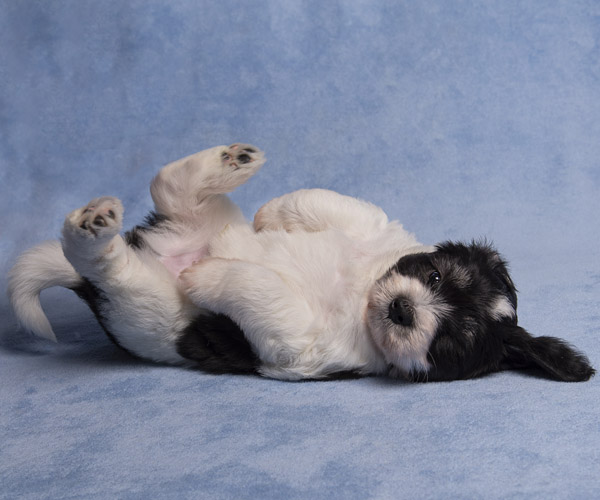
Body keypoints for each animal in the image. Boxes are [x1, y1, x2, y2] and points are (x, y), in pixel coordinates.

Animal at [8, 144, 595, 382]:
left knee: (104, 263)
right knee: (171, 186)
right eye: (432, 276)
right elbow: (318, 203)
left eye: (448, 340)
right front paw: (273, 217)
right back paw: (229, 161)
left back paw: (96, 229)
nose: (404, 310)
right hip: (202, 223)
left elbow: (268, 294)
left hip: (140, 304)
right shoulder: (373, 228)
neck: (362, 297)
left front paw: (209, 275)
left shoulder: (299, 343)